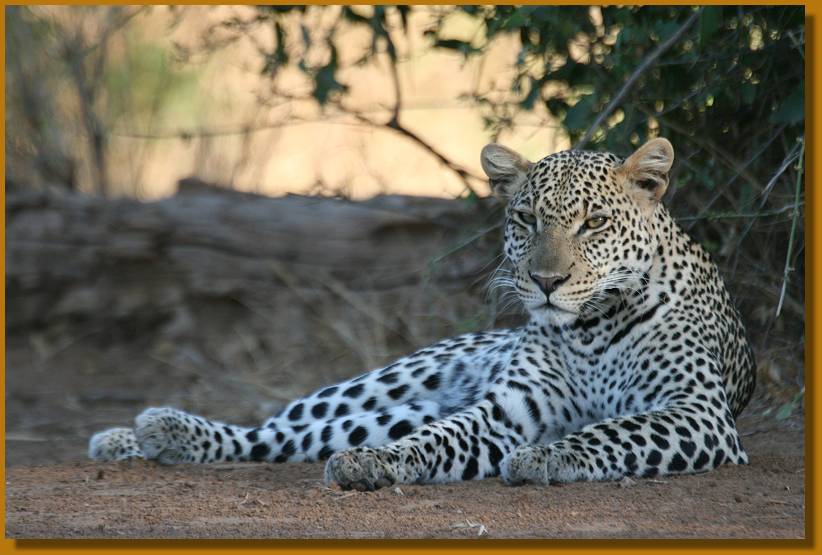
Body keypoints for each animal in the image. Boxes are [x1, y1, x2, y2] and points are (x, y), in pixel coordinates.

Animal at [87, 138, 756, 490]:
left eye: (594, 223)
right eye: (525, 219)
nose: (546, 283)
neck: (590, 329)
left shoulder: (697, 413)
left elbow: (613, 430)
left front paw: (546, 457)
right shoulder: (504, 412)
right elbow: (437, 438)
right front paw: (375, 465)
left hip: (388, 408)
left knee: (287, 441)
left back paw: (148, 437)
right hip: (380, 385)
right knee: (271, 432)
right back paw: (145, 431)